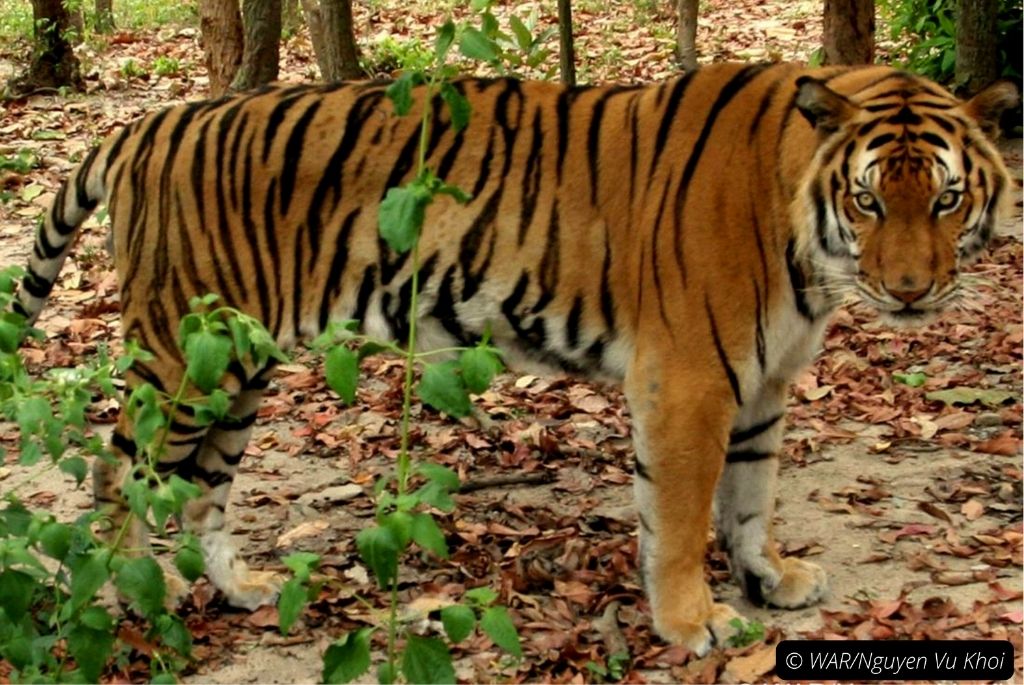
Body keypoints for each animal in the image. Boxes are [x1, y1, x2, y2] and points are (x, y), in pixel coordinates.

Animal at [12, 62, 1019, 651]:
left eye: (944, 199)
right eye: (869, 200)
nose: (911, 292)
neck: (806, 241)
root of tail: (144, 126)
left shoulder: (765, 379)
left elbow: (750, 497)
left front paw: (771, 578)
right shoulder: (689, 379)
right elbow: (682, 513)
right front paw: (693, 623)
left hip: (240, 365)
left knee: (201, 486)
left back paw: (238, 587)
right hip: (186, 355)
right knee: (117, 471)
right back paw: (126, 604)